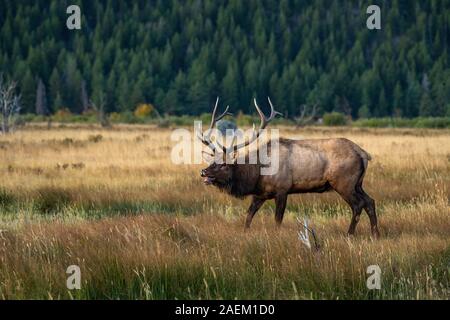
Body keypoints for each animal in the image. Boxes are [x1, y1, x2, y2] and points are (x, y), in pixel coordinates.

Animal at [199, 97, 378, 238]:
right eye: (212, 160)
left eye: (223, 164)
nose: (203, 172)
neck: (257, 174)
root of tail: (364, 154)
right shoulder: (260, 193)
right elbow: (248, 216)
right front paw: (245, 232)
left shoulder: (282, 189)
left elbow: (278, 219)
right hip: (358, 184)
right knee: (370, 201)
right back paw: (375, 234)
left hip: (343, 182)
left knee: (358, 205)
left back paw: (350, 234)